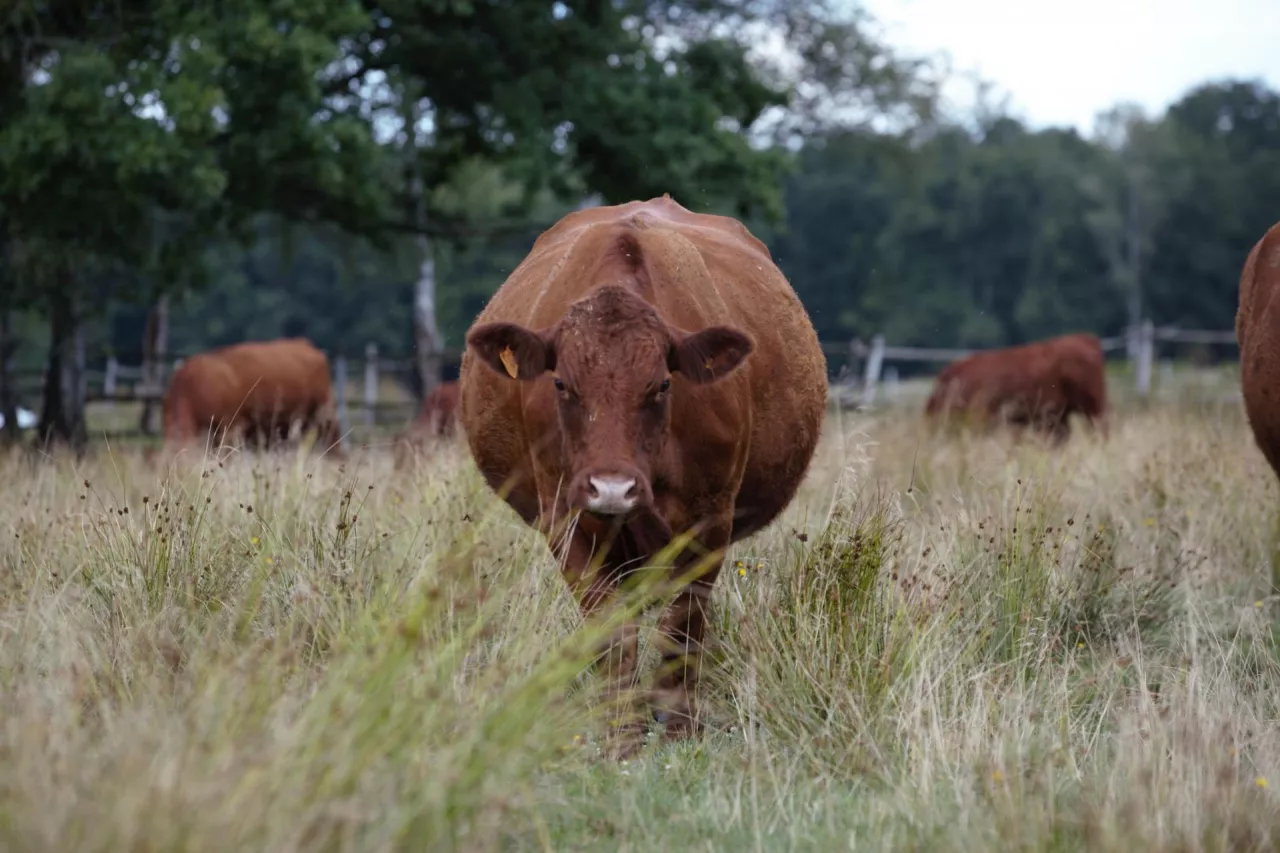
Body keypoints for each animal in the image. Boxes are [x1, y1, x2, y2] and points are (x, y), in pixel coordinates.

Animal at [460, 194, 829, 753]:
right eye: (562, 384)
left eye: (661, 385)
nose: (613, 487)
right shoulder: (567, 518)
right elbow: (611, 631)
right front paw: (623, 733)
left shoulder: (710, 521)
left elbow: (682, 624)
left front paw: (677, 726)